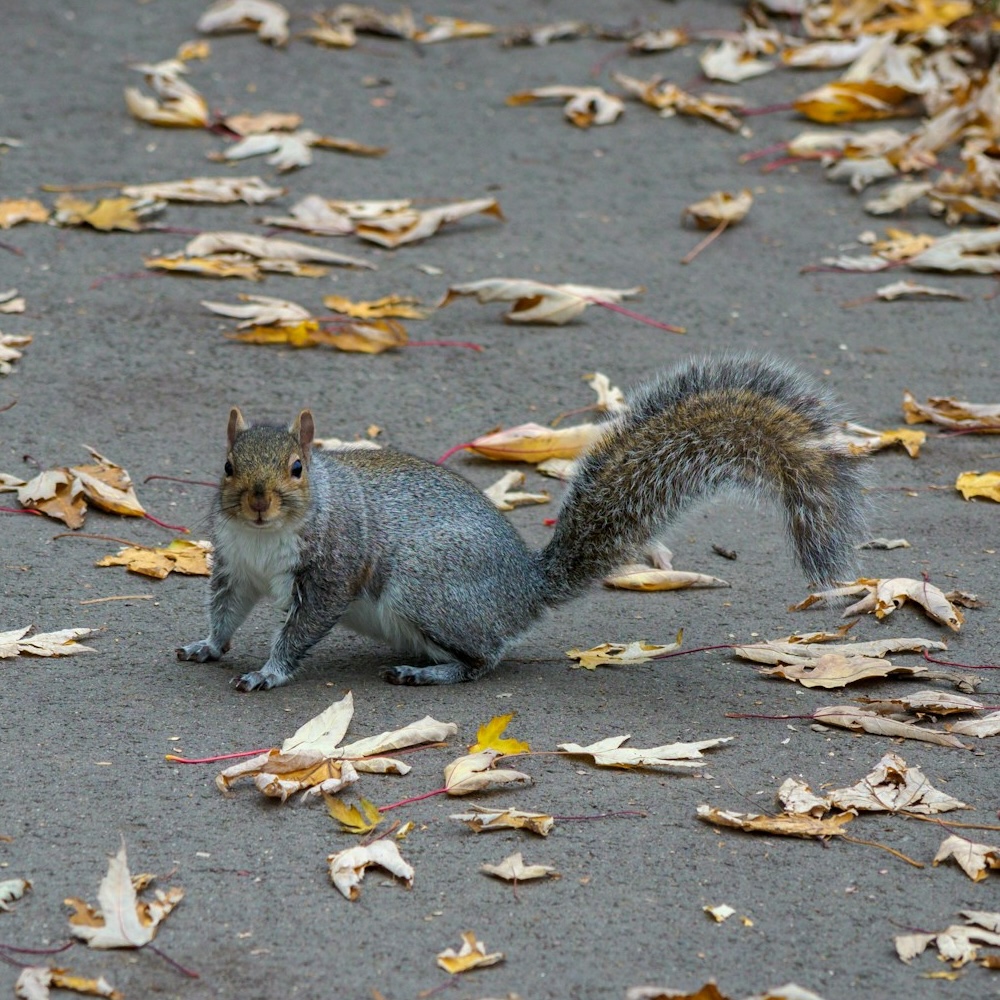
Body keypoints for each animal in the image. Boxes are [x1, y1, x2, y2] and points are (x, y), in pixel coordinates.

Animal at [177, 354, 868, 691]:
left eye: (298, 468)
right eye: (228, 465)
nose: (258, 503)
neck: (264, 538)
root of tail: (524, 588)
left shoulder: (330, 566)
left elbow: (301, 627)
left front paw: (267, 672)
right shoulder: (235, 564)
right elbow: (226, 610)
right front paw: (207, 645)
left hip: (428, 588)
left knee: (483, 660)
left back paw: (427, 672)